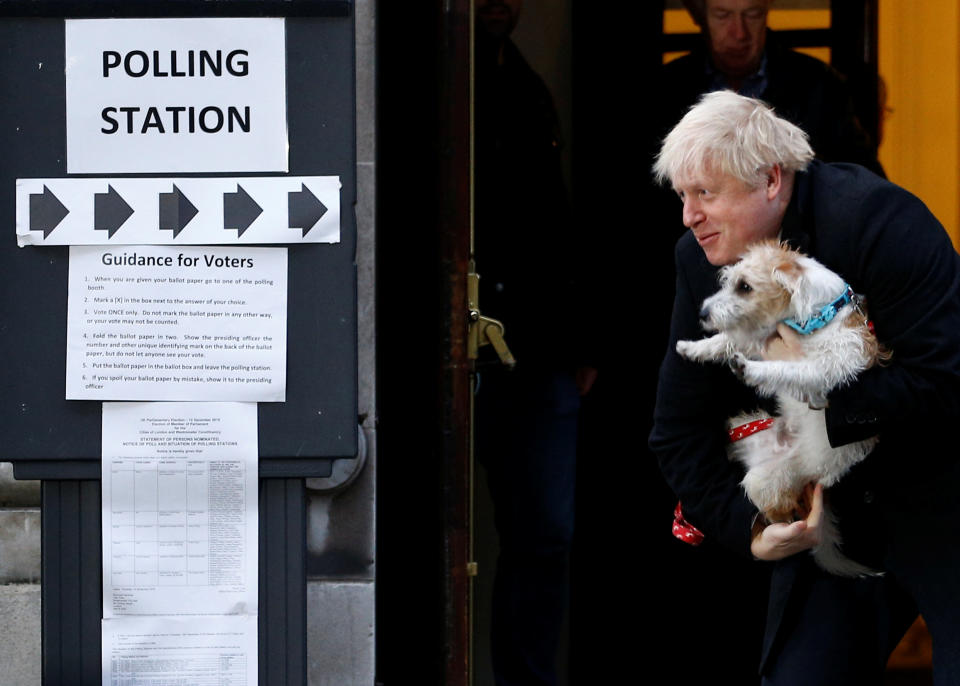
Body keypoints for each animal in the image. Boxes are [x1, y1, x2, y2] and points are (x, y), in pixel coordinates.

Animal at [680, 242, 888, 580]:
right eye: (728, 281)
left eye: (745, 287)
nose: (702, 313)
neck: (817, 316)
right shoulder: (760, 337)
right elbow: (726, 341)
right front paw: (692, 347)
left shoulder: (823, 370)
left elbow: (785, 370)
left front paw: (750, 369)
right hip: (741, 429)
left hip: (767, 480)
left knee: (780, 512)